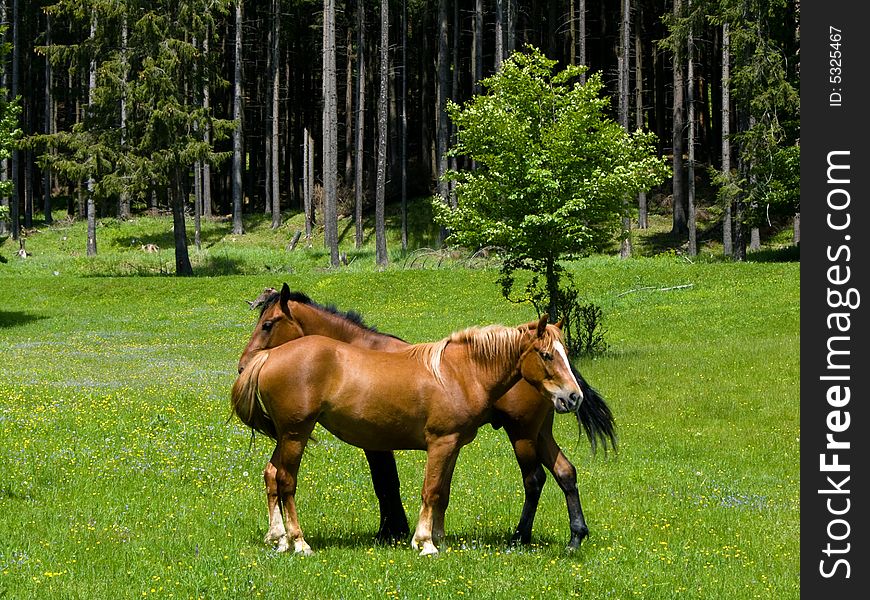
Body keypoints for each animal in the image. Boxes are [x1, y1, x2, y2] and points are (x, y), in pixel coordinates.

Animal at [238, 284, 620, 552]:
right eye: (546, 355)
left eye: (268, 324)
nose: (573, 396)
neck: (459, 371)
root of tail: (269, 360)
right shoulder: (424, 442)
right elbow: (415, 488)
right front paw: (417, 539)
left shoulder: (445, 444)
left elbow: (436, 491)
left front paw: (428, 538)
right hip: (294, 434)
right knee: (282, 479)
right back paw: (296, 542)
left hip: (528, 432)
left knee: (551, 475)